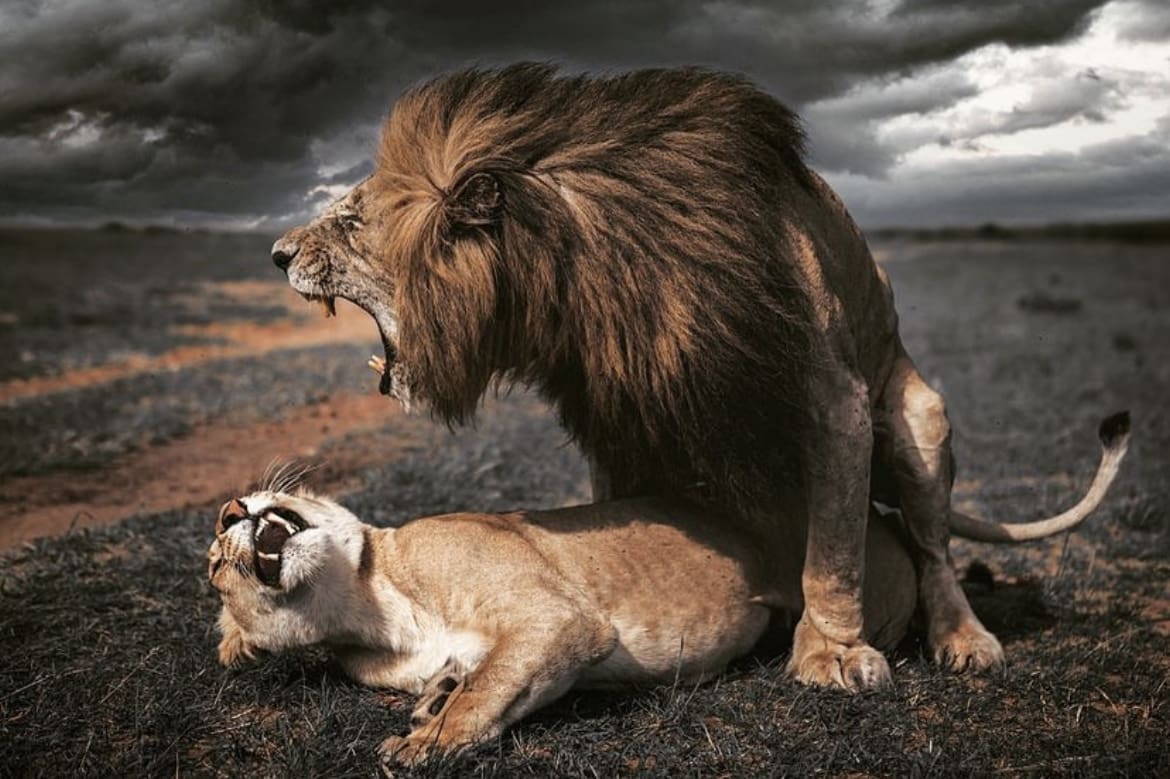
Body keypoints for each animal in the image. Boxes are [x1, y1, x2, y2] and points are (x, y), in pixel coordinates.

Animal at [209, 418, 1128, 768]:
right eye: (218, 565)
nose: (232, 513)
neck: (372, 609)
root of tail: (872, 512)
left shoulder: (560, 621)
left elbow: (488, 689)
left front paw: (427, 738)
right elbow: (472, 678)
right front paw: (432, 699)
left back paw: (953, 640)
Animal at [271, 64, 1129, 690]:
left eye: (351, 220)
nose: (276, 254)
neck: (579, 261)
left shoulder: (835, 400)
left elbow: (835, 550)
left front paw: (829, 654)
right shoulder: (617, 416)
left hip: (919, 418)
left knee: (933, 547)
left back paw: (963, 637)